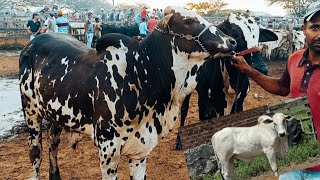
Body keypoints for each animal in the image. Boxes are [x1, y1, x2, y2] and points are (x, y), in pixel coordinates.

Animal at [19, 5, 235, 180]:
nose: (231, 41)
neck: (139, 71)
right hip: (31, 113)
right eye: (188, 21)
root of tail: (32, 44)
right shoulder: (107, 151)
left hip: (55, 115)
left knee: (52, 143)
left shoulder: (140, 152)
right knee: (36, 154)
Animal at [175, 12, 278, 150]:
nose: (261, 68)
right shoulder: (212, 106)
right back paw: (179, 141)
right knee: (184, 110)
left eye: (257, 36)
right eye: (235, 33)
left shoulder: (239, 102)